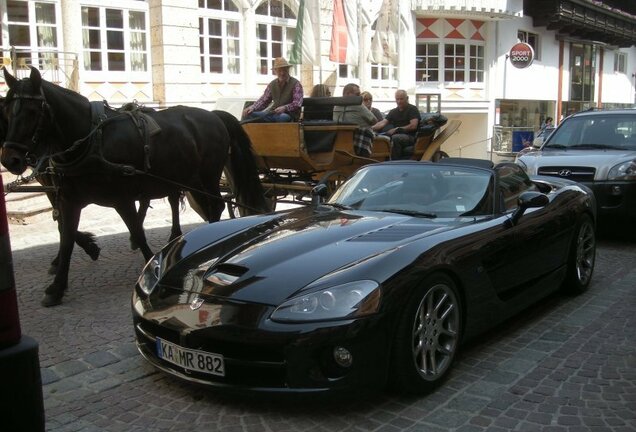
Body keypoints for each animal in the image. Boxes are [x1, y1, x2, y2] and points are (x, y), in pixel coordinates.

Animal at [0, 66, 268, 308]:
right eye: (7, 110)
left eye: (32, 111)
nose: (10, 159)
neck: (91, 141)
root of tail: (214, 115)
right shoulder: (68, 199)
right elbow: (65, 237)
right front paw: (57, 286)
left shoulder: (122, 198)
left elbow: (138, 231)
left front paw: (151, 266)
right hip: (187, 177)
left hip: (207, 177)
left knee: (216, 206)